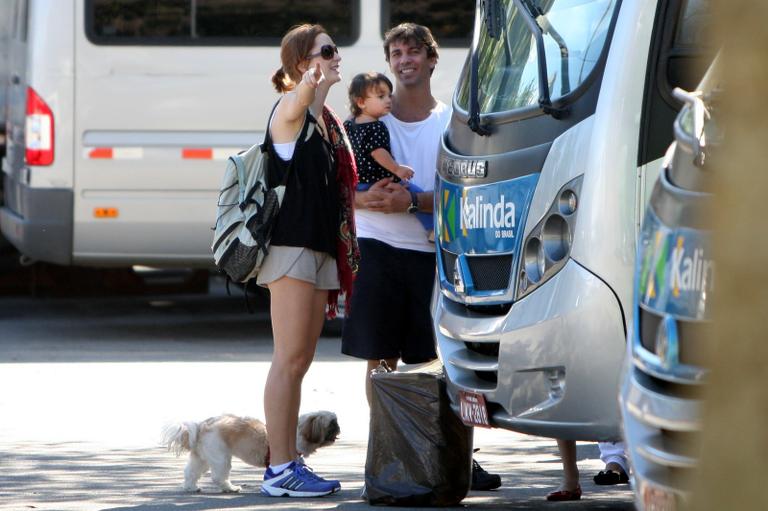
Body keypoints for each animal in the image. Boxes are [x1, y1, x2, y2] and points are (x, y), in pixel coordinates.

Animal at [162, 412, 340, 492]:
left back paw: (191, 487)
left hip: (202, 457)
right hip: (221, 457)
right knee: (219, 476)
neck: (299, 431)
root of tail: (201, 427)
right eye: (332, 424)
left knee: (191, 472)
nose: (339, 427)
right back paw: (230, 488)